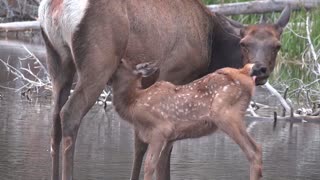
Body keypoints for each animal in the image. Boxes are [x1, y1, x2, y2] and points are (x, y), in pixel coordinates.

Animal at [111, 59, 262, 180]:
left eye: (121, 62)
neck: (134, 103)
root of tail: (245, 73)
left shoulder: (160, 130)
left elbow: (149, 166)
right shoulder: (170, 138)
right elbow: (161, 168)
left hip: (225, 115)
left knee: (253, 151)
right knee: (258, 149)